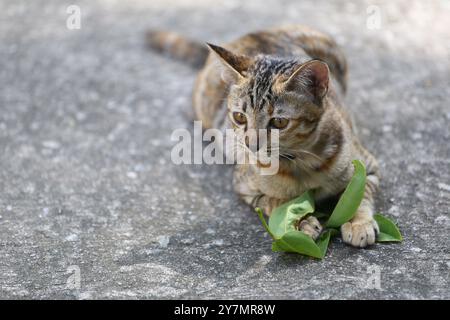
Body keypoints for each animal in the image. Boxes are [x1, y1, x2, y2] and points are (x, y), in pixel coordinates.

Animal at [147, 26, 380, 249]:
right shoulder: (243, 187)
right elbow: (275, 202)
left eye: (279, 122)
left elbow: (360, 192)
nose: (250, 145)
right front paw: (299, 221)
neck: (300, 164)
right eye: (239, 117)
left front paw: (358, 222)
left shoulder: (367, 165)